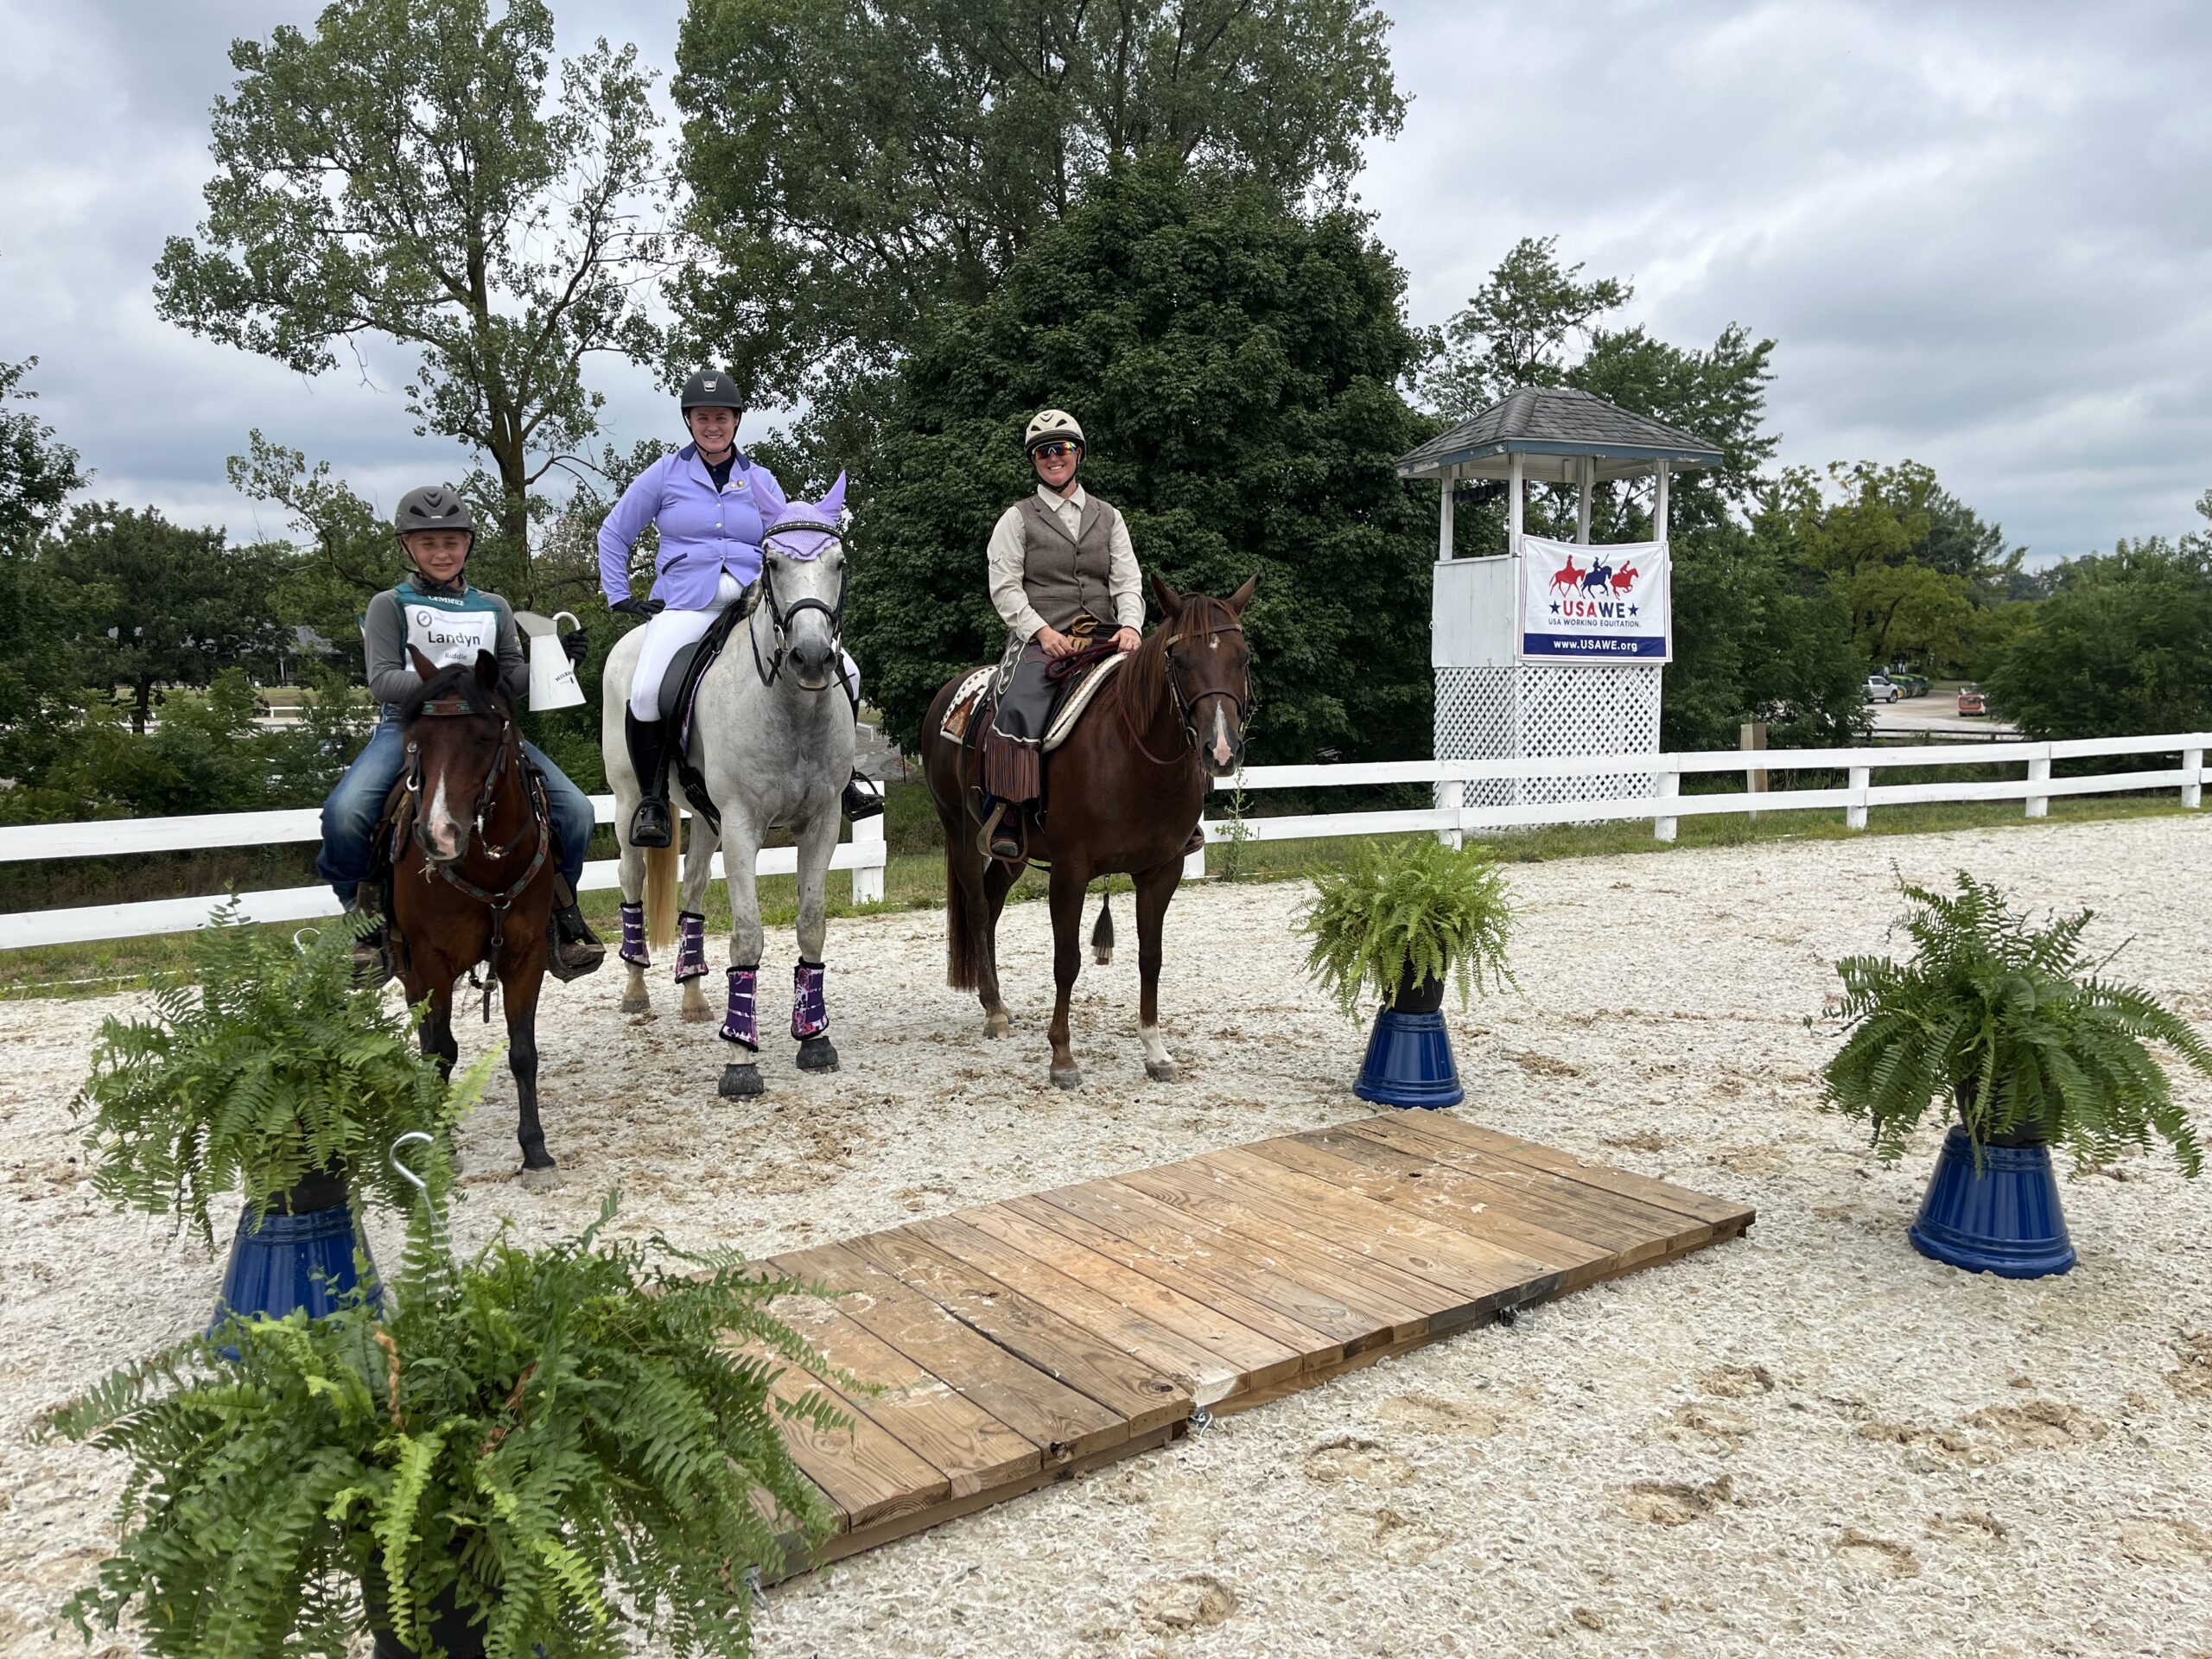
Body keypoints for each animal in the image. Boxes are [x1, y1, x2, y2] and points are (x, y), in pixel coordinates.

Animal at [382, 645, 553, 1185]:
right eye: (414, 742)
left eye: (483, 737)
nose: (437, 835)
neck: (488, 866)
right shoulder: (432, 961)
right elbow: (442, 1051)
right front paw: (440, 1147)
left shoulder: (527, 955)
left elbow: (523, 1052)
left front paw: (535, 1151)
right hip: (408, 967)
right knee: (426, 1038)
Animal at [601, 480, 858, 1106]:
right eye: (772, 564)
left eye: (839, 564)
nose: (812, 658)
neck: (791, 708)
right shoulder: (744, 826)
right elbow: (746, 936)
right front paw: (740, 1059)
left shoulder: (822, 823)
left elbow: (811, 923)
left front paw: (814, 1037)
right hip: (628, 806)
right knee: (631, 881)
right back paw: (637, 990)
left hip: (706, 821)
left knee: (693, 892)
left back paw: (694, 998)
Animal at [919, 575, 1265, 1092]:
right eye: (1180, 660)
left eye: (1241, 657)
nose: (1221, 751)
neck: (1133, 758)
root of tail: (951, 694)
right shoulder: (1071, 871)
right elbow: (1067, 961)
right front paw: (1062, 1057)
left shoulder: (1163, 871)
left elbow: (1151, 957)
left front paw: (1155, 1050)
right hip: (960, 833)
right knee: (979, 911)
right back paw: (994, 1011)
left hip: (1010, 853)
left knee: (993, 903)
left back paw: (994, 1000)